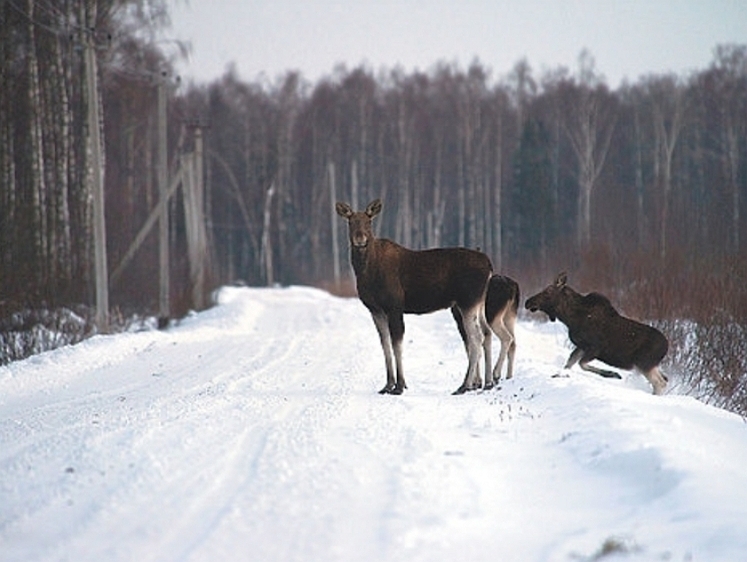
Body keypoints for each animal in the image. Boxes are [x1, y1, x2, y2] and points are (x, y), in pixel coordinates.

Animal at [336, 198, 494, 394]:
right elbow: (385, 345)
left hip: (468, 302)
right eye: (350, 222)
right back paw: (487, 382)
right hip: (475, 304)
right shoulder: (376, 310)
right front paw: (388, 384)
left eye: (369, 221)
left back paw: (465, 385)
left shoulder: (394, 306)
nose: (360, 238)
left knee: (476, 338)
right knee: (486, 333)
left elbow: (397, 345)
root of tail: (489, 265)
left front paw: (400, 385)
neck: (365, 271)